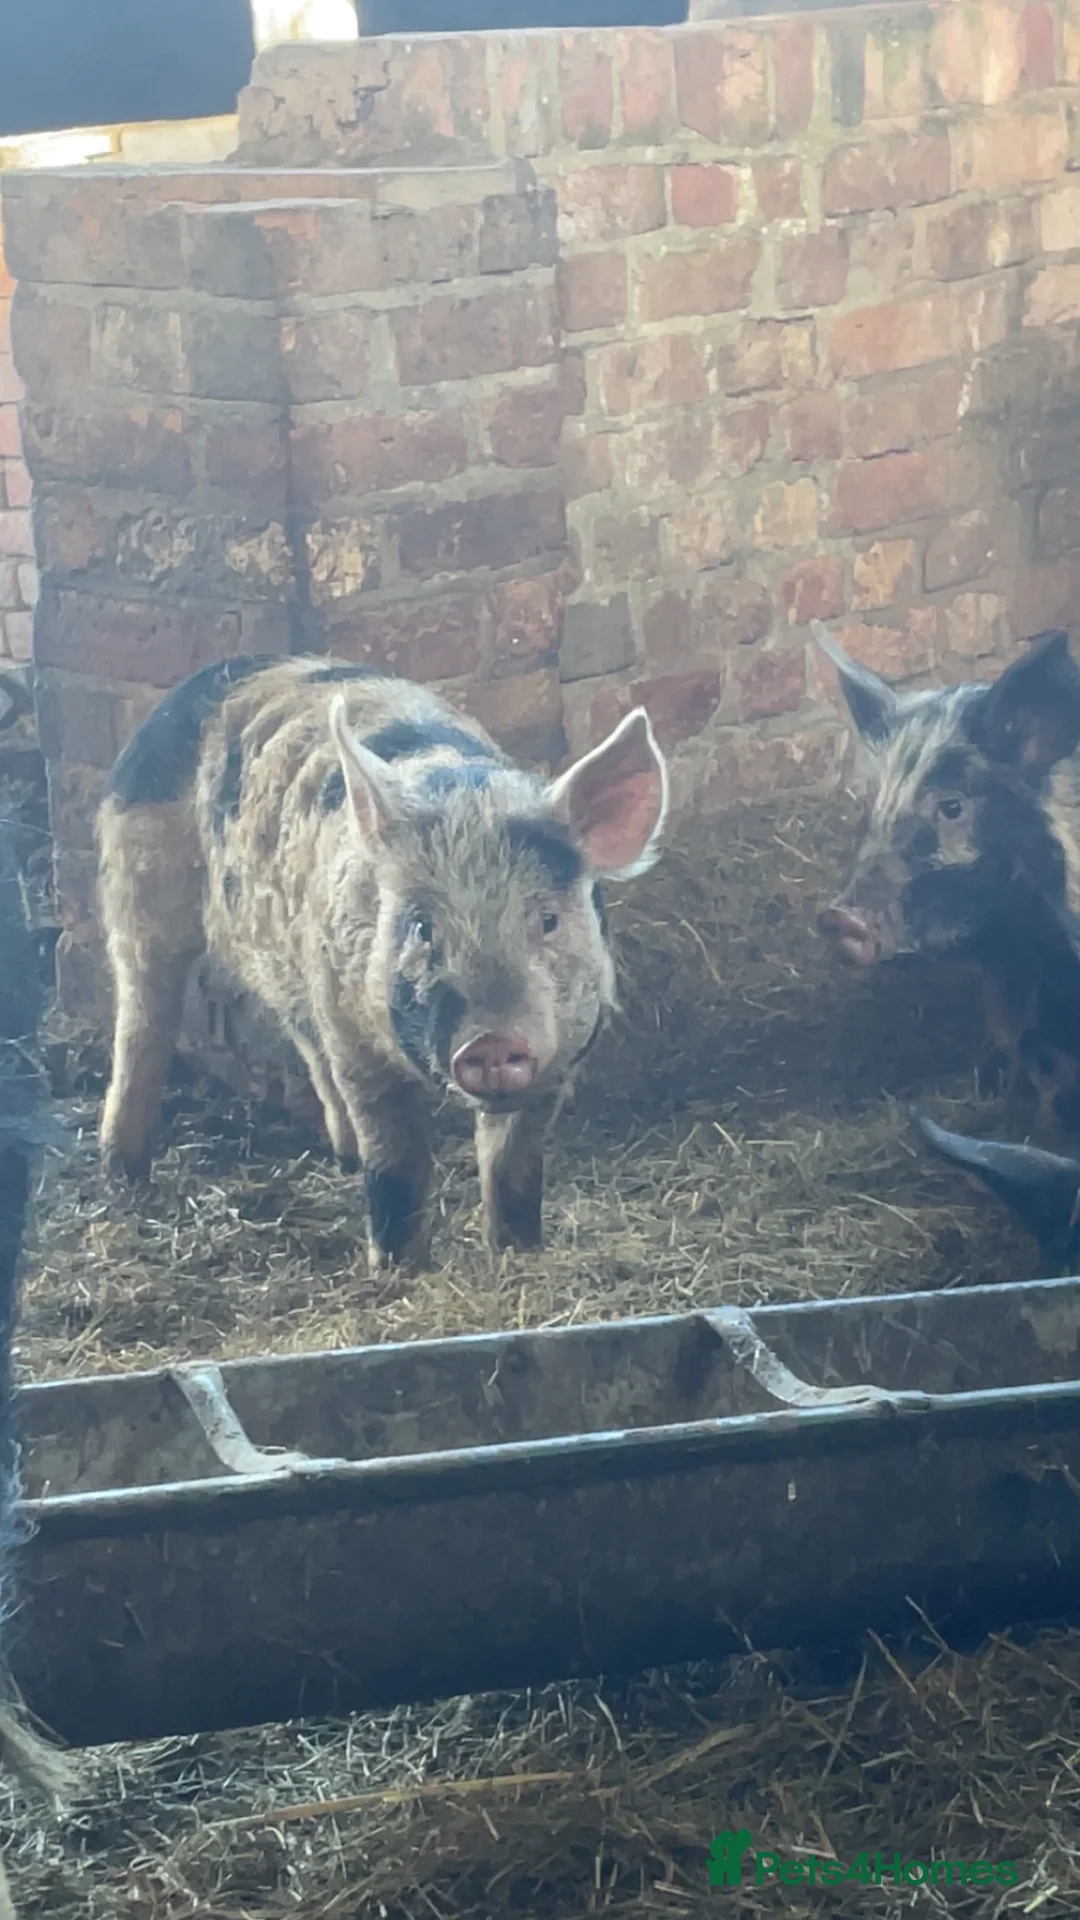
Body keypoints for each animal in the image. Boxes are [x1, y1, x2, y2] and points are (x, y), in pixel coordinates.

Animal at [96, 656, 669, 1273]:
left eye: (547, 920)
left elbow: (513, 1167)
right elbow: (396, 1159)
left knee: (303, 1038)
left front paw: (517, 1254)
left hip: (292, 962)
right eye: (422, 928)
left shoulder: (558, 1060)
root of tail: (201, 680)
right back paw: (124, 1173)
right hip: (139, 888)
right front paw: (399, 1271)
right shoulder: (360, 1042)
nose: (491, 1041)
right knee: (142, 1021)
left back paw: (342, 1158)